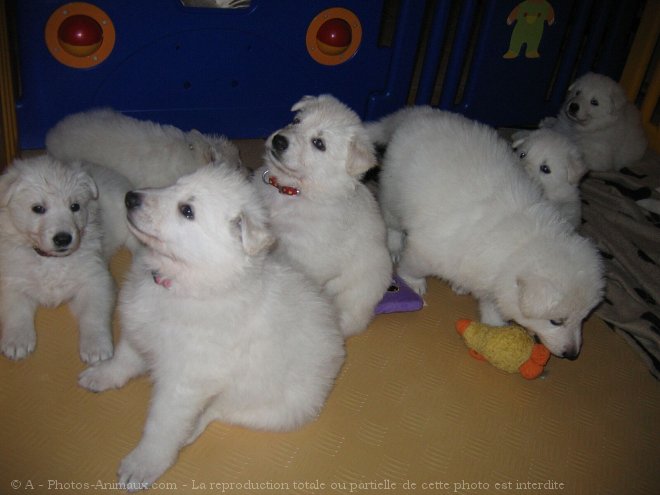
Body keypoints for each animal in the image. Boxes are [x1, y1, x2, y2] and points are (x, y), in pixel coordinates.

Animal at [0, 156, 135, 364]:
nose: (63, 239)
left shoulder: (96, 280)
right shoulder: (12, 280)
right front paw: (17, 341)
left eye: (75, 206)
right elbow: (16, 312)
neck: (51, 260)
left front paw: (96, 346)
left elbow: (93, 315)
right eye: (38, 208)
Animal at [79, 166, 342, 488]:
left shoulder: (185, 382)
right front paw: (102, 374)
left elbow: (162, 425)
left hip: (276, 408)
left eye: (187, 211)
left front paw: (142, 464)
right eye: (174, 184)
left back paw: (190, 431)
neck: (185, 281)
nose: (130, 197)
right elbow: (124, 357)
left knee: (217, 411)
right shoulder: (140, 329)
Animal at [255, 95, 394, 340]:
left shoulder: (311, 260)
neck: (292, 190)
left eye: (319, 144)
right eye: (296, 120)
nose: (279, 140)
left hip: (356, 295)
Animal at [368, 105, 604, 360]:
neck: (518, 247)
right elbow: (413, 265)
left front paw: (496, 330)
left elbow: (493, 304)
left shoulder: (495, 281)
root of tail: (418, 112)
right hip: (394, 192)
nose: (572, 355)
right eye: (556, 321)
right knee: (392, 222)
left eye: (583, 318)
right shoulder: (428, 249)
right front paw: (414, 283)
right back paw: (394, 246)